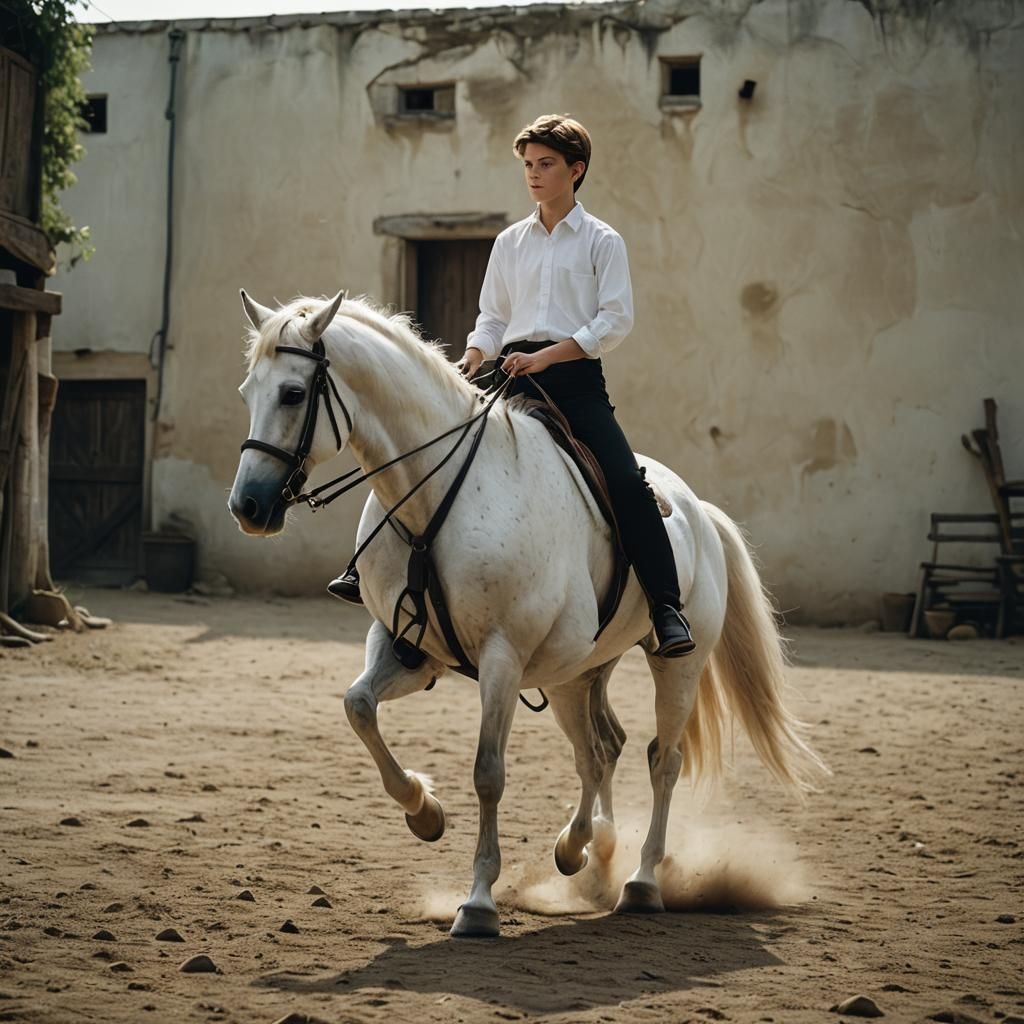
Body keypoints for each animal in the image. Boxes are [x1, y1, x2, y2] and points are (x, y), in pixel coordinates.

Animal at [228, 289, 827, 938]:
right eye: (247, 392)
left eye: (293, 393)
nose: (248, 506)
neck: (437, 498)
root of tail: (699, 509)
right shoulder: (405, 647)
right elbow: (358, 706)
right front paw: (424, 811)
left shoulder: (502, 657)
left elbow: (488, 771)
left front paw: (477, 903)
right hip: (574, 675)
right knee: (599, 749)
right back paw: (582, 850)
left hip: (676, 668)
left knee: (661, 760)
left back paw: (640, 881)